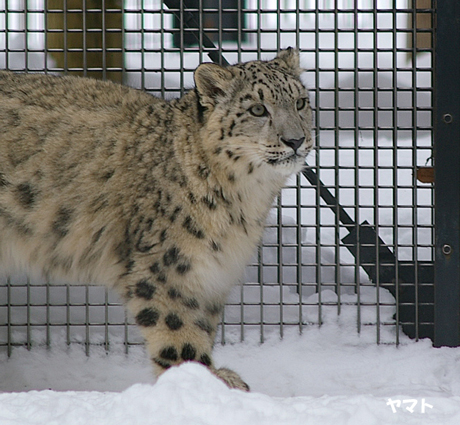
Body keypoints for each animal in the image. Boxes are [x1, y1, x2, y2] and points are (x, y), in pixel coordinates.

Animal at [0, 48, 312, 390]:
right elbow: (181, 335)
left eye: (300, 102)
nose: (296, 140)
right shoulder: (167, 268)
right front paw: (199, 383)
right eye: (257, 109)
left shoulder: (213, 274)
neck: (245, 203)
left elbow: (202, 327)